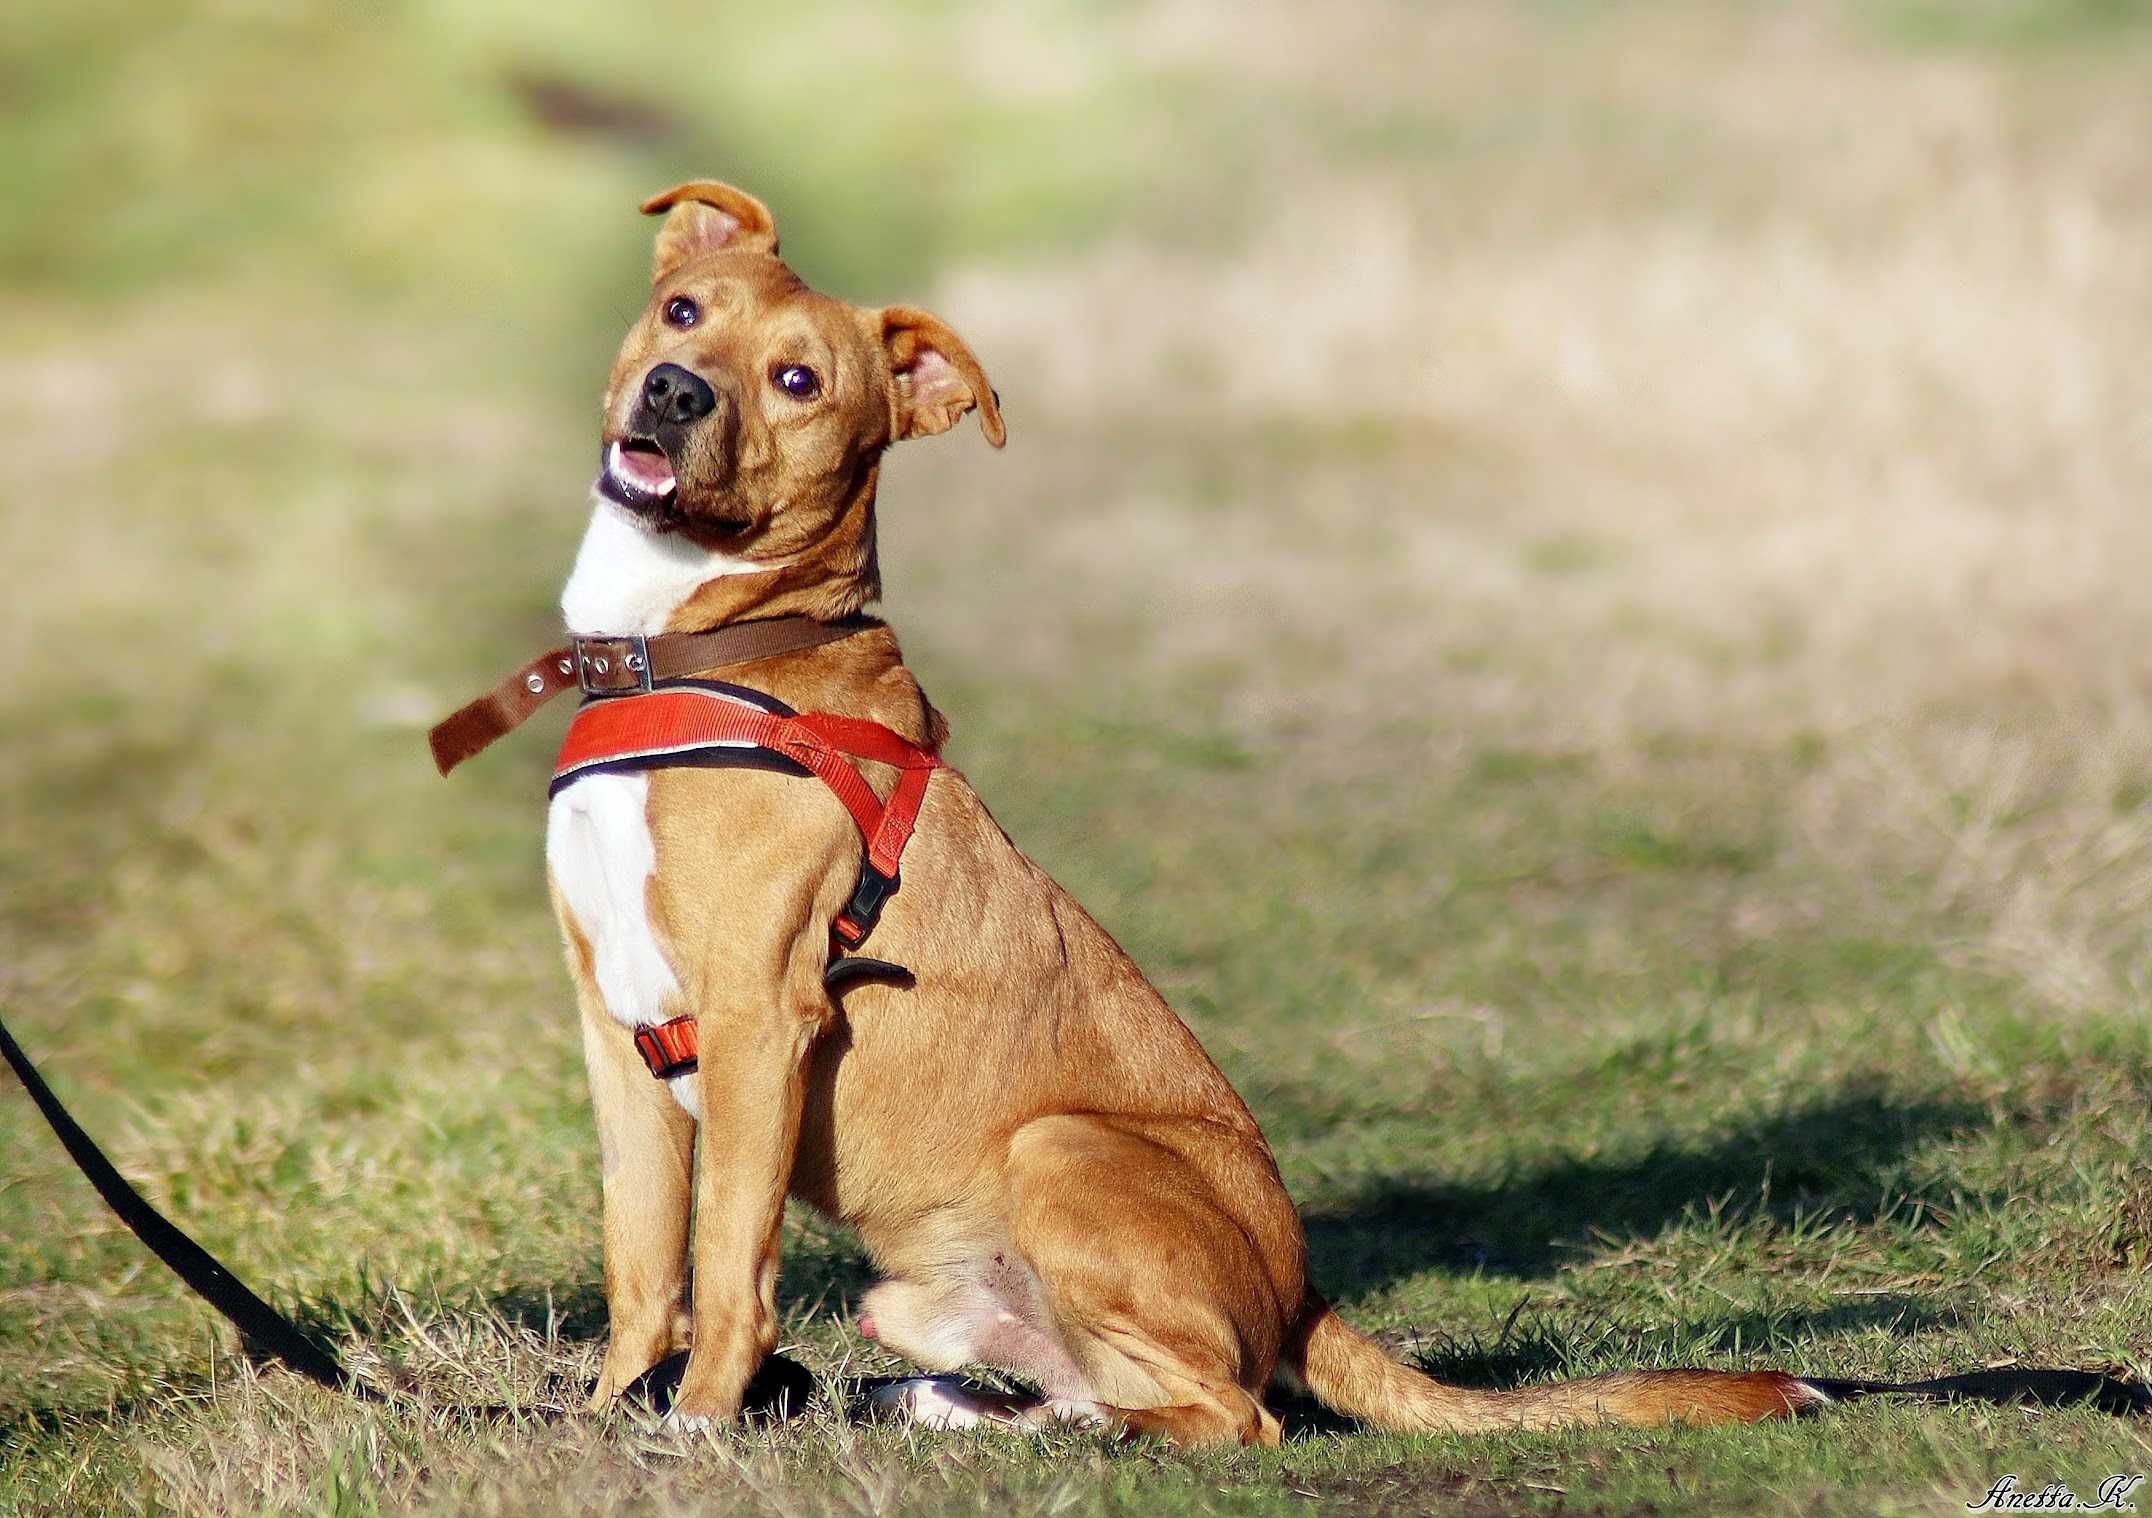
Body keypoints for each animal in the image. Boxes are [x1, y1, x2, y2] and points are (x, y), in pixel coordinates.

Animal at [475, 183, 1833, 1438]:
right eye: (682, 311)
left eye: (797, 378)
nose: (673, 394)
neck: (675, 647)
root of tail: (1303, 1289)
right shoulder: (617, 1028)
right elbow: (641, 1262)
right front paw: (609, 1412)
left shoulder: (761, 1016)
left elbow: (726, 1262)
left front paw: (698, 1421)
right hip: (919, 1293)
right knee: (1097, 1380)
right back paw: (972, 1411)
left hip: (1059, 1147)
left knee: (1240, 1412)